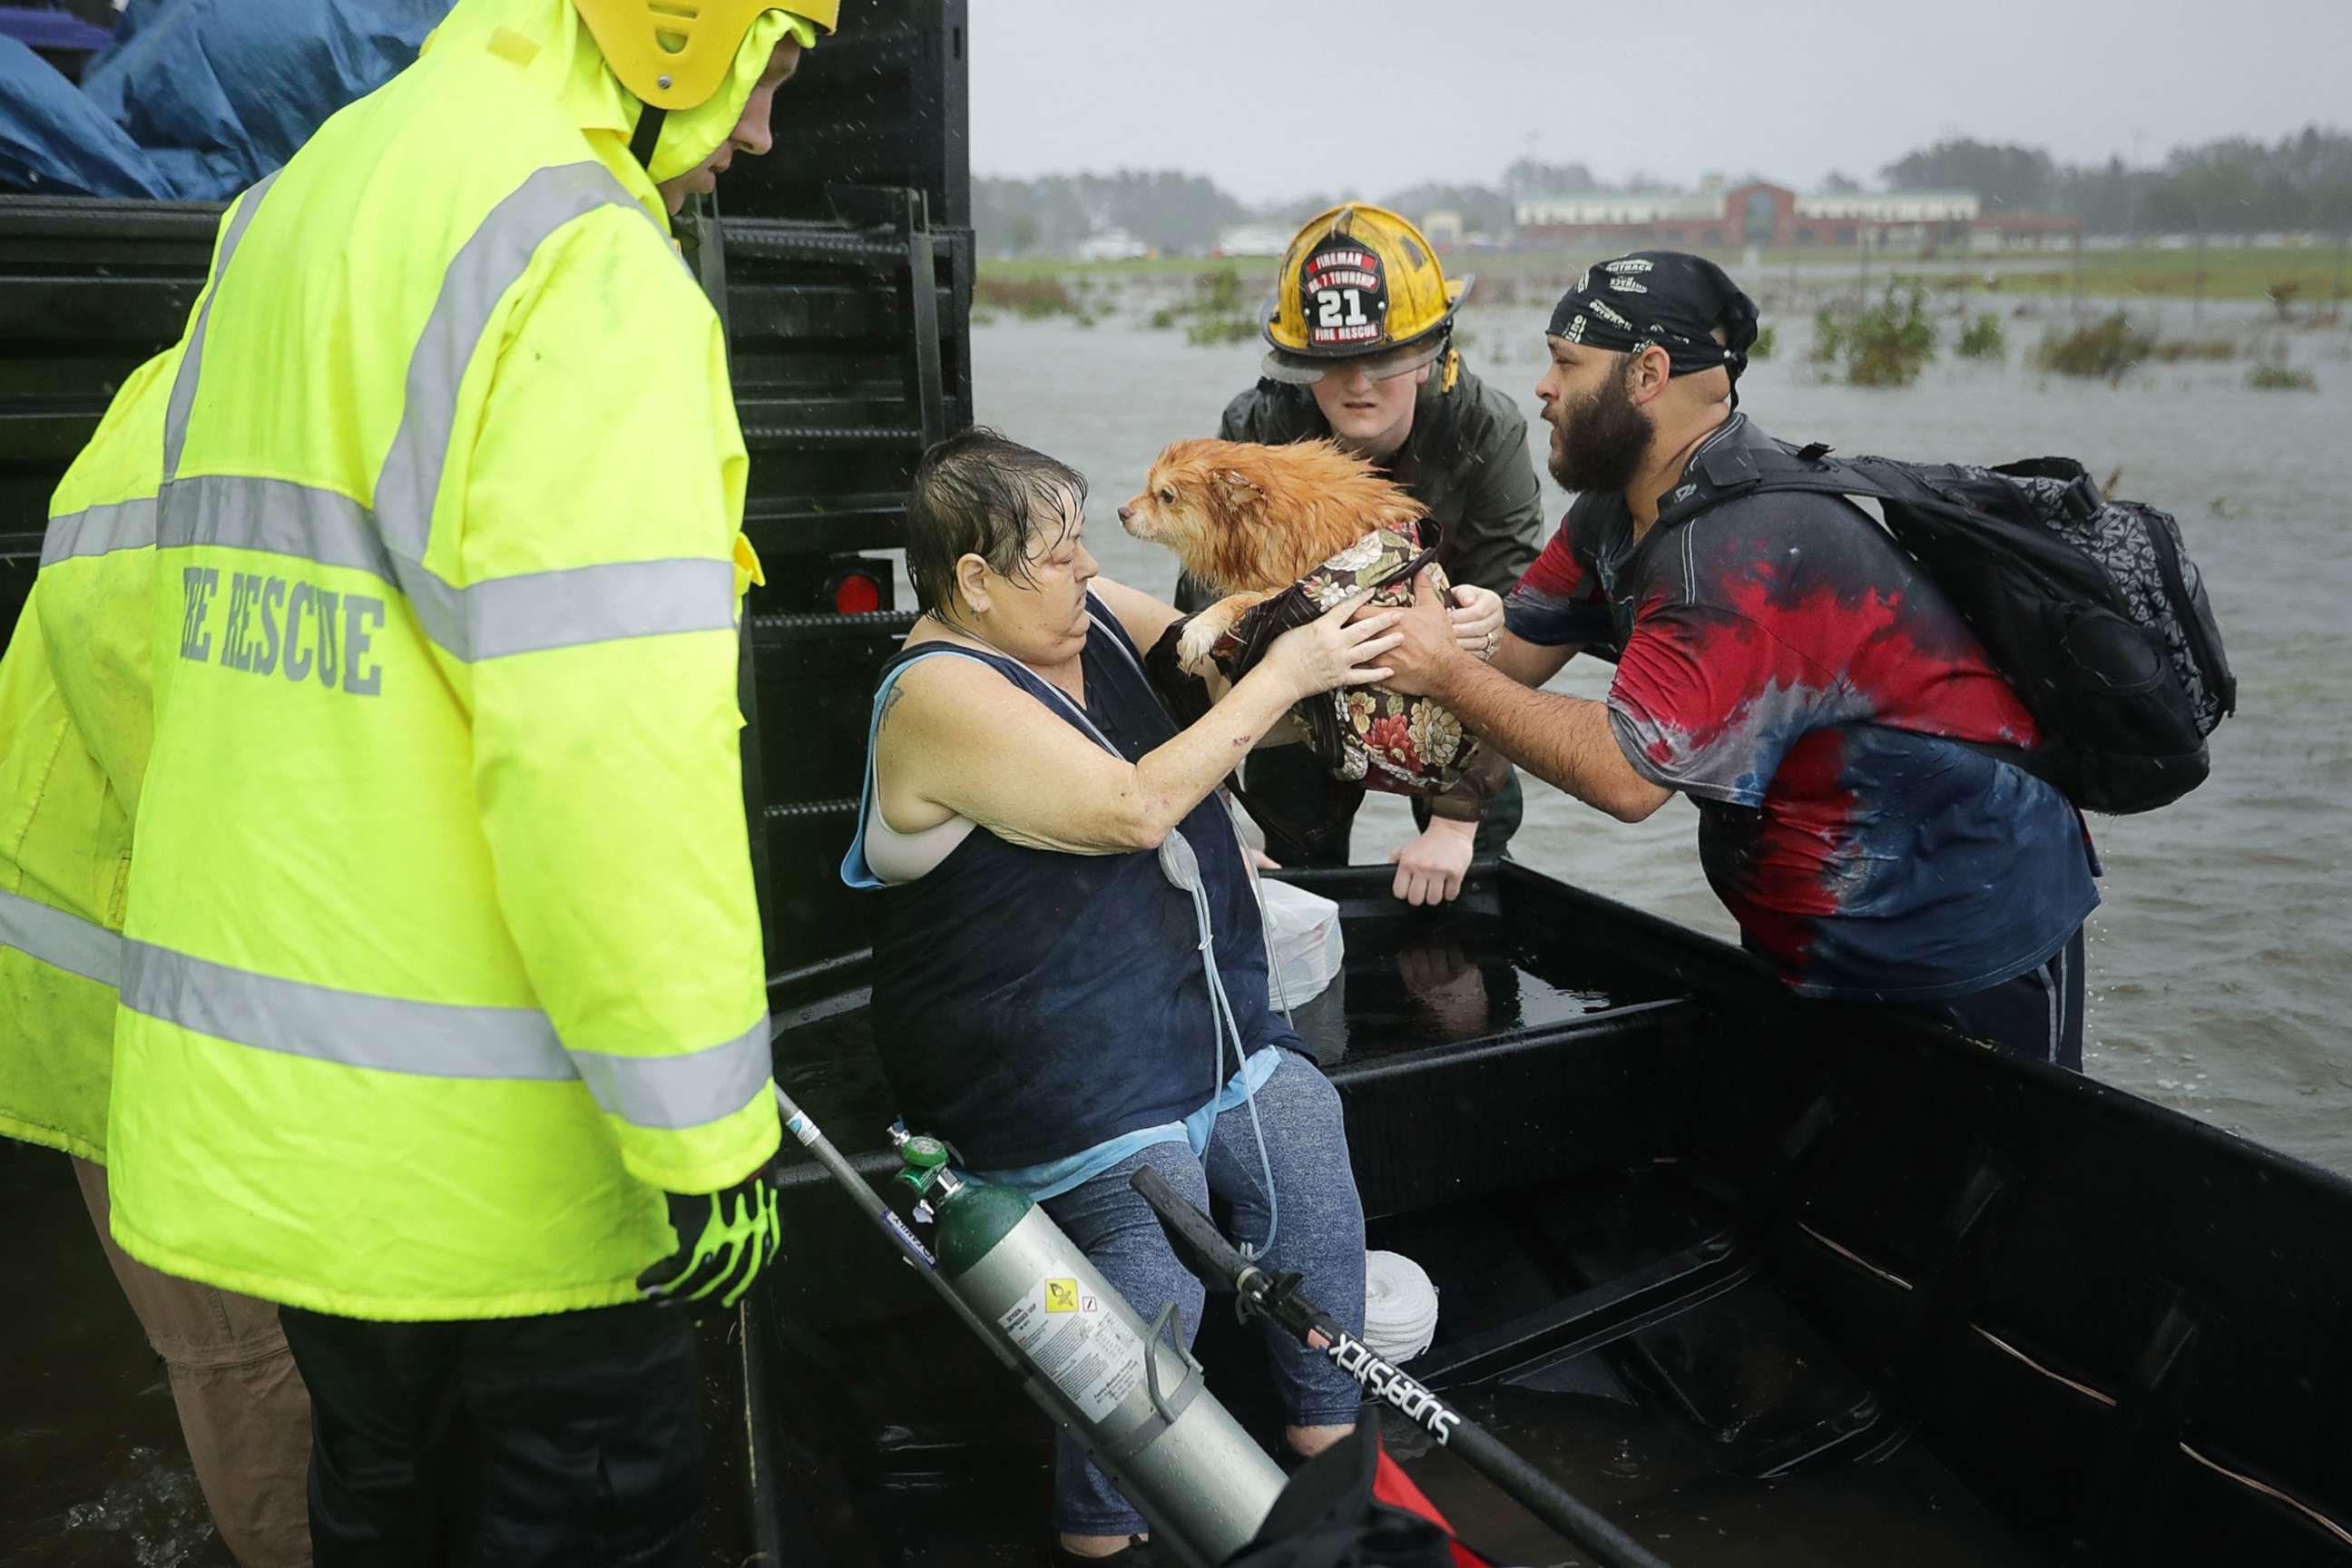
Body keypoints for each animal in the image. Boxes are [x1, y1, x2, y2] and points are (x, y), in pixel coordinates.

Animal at [1114, 435, 1420, 677]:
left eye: (1166, 496)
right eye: (1148, 487)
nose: (1121, 512)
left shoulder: (1301, 586)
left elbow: (1240, 599)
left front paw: (1200, 629)